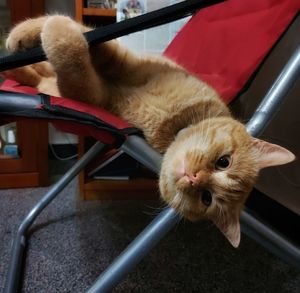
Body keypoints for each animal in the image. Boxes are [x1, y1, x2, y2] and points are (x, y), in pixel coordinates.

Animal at [4, 14, 296, 245]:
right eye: (224, 162)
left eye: (206, 198)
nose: (194, 177)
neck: (172, 123)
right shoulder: (126, 63)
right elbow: (89, 36)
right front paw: (27, 32)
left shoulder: (94, 97)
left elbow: (73, 63)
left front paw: (55, 32)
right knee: (43, 71)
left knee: (42, 77)